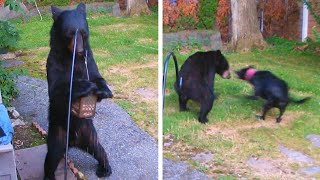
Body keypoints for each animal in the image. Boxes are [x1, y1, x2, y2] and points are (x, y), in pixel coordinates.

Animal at [43, 3, 114, 179]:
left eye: (84, 33)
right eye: (70, 35)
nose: (80, 50)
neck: (72, 57)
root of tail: (75, 142)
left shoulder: (89, 60)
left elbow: (96, 76)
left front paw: (104, 91)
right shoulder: (54, 62)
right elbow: (56, 89)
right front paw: (85, 86)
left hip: (89, 134)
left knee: (99, 150)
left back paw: (105, 168)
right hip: (58, 134)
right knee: (51, 157)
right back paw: (49, 174)